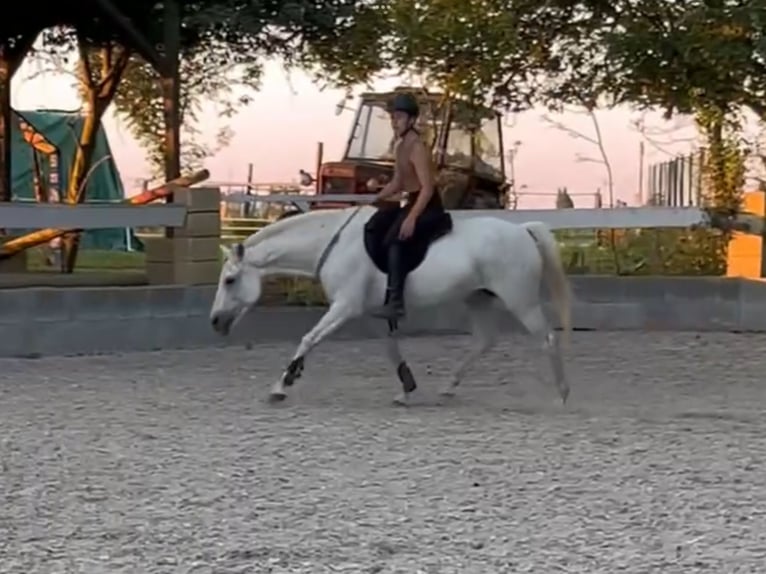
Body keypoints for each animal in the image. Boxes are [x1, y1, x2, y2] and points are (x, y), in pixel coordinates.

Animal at [208, 206, 568, 404]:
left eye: (230, 281)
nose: (215, 321)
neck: (335, 244)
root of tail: (523, 231)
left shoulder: (345, 306)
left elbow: (309, 338)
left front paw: (282, 384)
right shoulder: (371, 312)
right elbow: (391, 349)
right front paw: (406, 389)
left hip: (520, 300)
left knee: (548, 339)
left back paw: (561, 394)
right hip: (478, 299)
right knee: (484, 342)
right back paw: (448, 388)